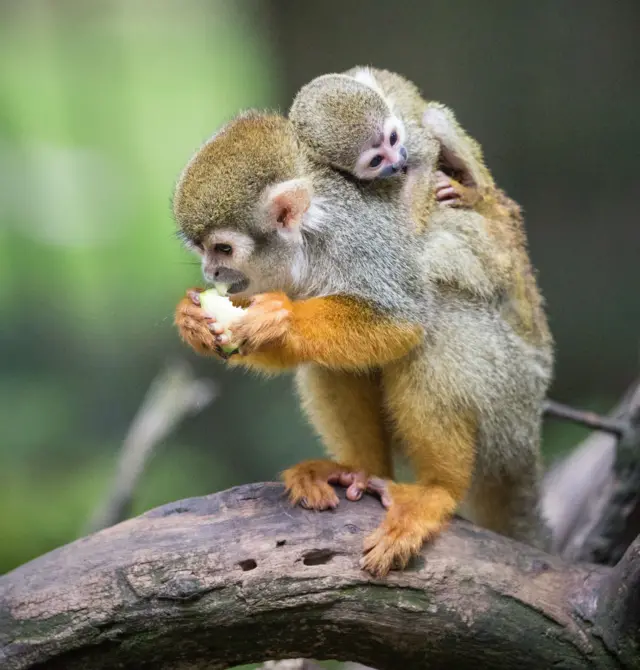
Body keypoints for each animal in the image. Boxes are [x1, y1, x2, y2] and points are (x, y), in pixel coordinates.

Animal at [172, 109, 552, 576]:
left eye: (222, 249)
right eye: (203, 252)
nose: (210, 274)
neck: (309, 243)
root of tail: (528, 444)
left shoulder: (358, 239)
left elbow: (401, 318)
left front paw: (281, 319)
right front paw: (192, 319)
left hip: (508, 403)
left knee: (438, 323)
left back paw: (437, 490)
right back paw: (360, 470)